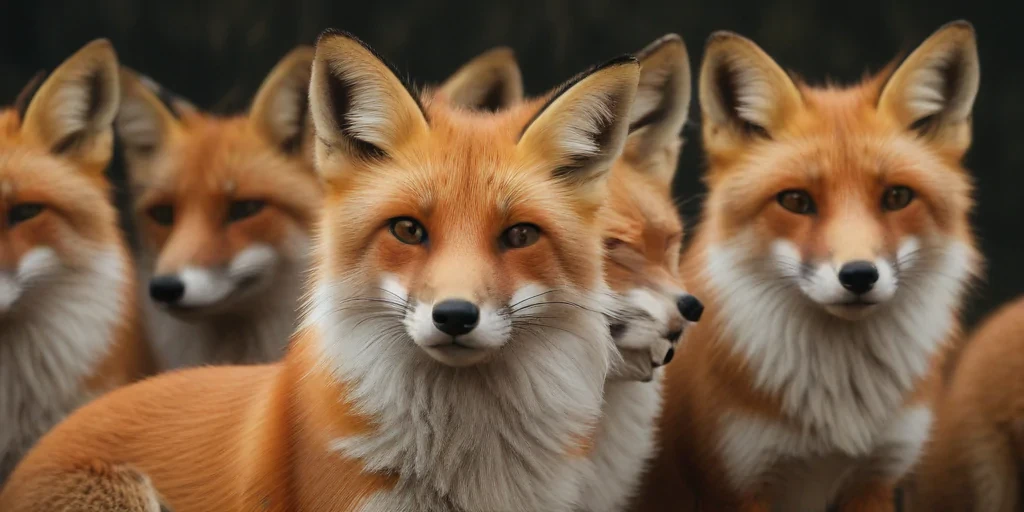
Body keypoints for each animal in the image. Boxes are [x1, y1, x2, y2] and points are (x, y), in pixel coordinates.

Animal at [631, 21, 981, 511]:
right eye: (796, 201)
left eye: (897, 197)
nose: (859, 275)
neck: (840, 403)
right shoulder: (737, 482)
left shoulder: (875, 479)